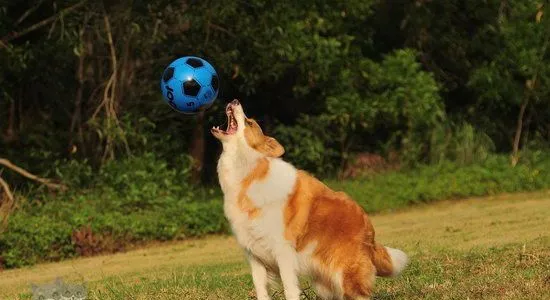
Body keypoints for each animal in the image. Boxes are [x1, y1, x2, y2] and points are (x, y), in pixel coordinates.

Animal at [211, 99, 410, 298]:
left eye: (249, 122)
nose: (235, 100)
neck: (249, 171)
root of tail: (370, 232)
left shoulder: (283, 251)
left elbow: (290, 289)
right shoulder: (255, 255)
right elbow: (261, 290)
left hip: (346, 274)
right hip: (324, 282)